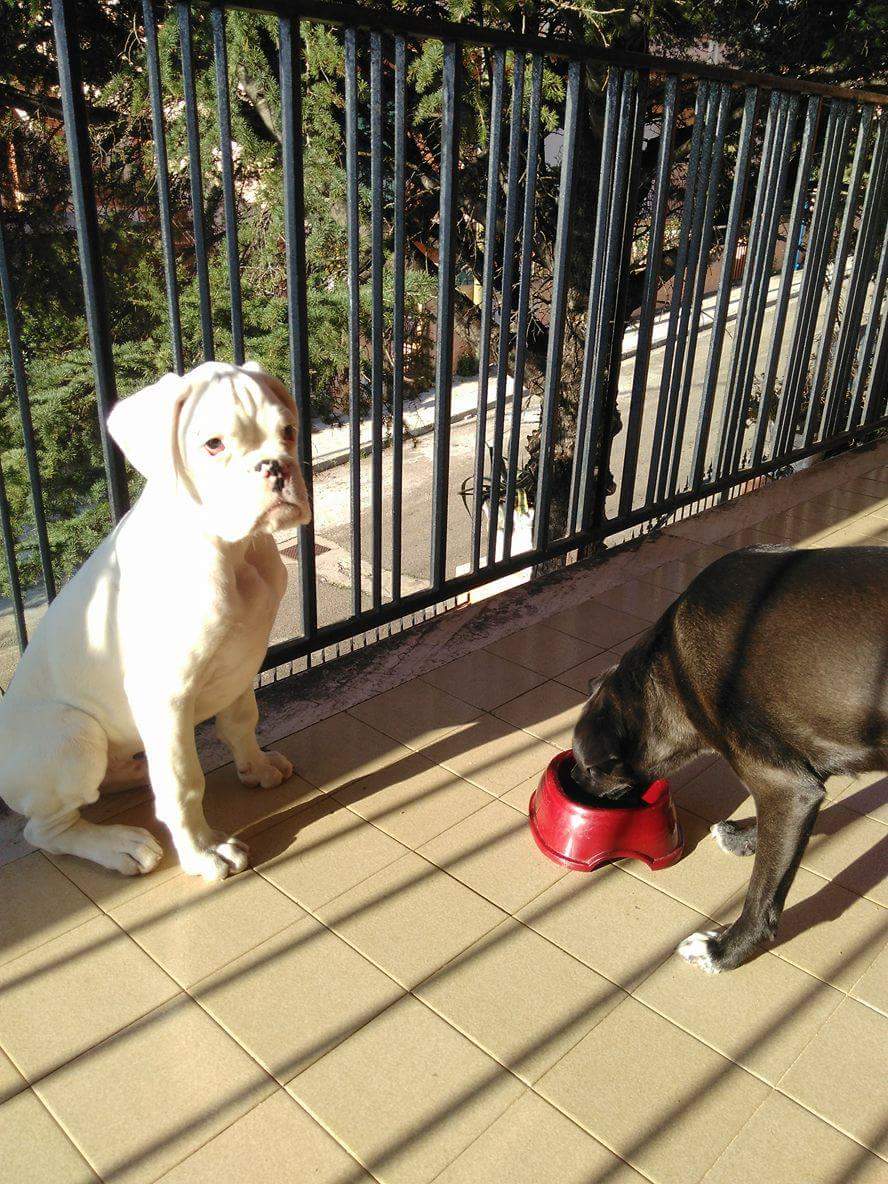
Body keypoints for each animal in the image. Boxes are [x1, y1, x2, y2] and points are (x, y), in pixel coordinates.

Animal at [0, 361, 311, 881]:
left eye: (287, 430)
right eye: (213, 445)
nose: (276, 466)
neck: (232, 551)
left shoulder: (241, 660)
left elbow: (241, 721)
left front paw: (256, 767)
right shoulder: (165, 694)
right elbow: (185, 782)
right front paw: (204, 852)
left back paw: (131, 774)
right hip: (73, 735)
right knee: (45, 830)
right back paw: (120, 845)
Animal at [572, 545, 887, 973]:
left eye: (590, 768)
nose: (572, 783)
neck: (672, 670)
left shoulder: (786, 789)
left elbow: (763, 894)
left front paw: (723, 951)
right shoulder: (799, 782)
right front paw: (743, 838)